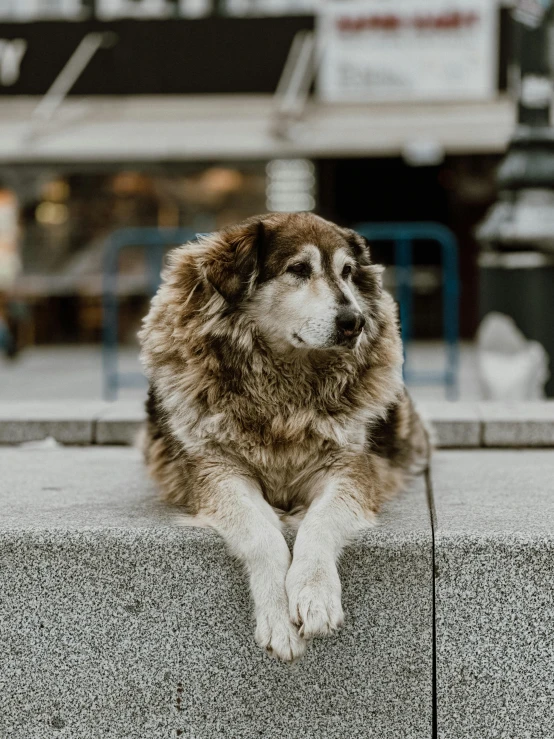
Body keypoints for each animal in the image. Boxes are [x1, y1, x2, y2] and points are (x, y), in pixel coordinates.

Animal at [138, 211, 426, 660]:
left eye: (347, 272)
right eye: (298, 270)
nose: (354, 323)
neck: (283, 400)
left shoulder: (348, 470)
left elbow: (321, 522)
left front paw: (314, 594)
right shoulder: (217, 472)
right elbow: (261, 535)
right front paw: (277, 617)